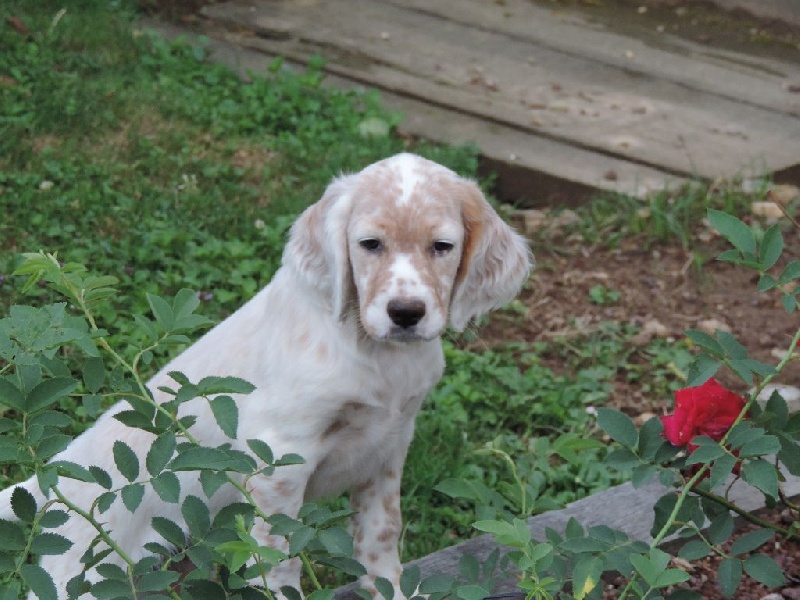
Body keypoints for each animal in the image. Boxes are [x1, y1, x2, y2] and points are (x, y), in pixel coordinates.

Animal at [0, 156, 532, 600]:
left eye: (442, 246)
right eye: (370, 245)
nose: (406, 313)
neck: (378, 354)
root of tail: (46, 486)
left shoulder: (387, 452)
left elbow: (380, 547)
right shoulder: (280, 460)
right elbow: (278, 560)